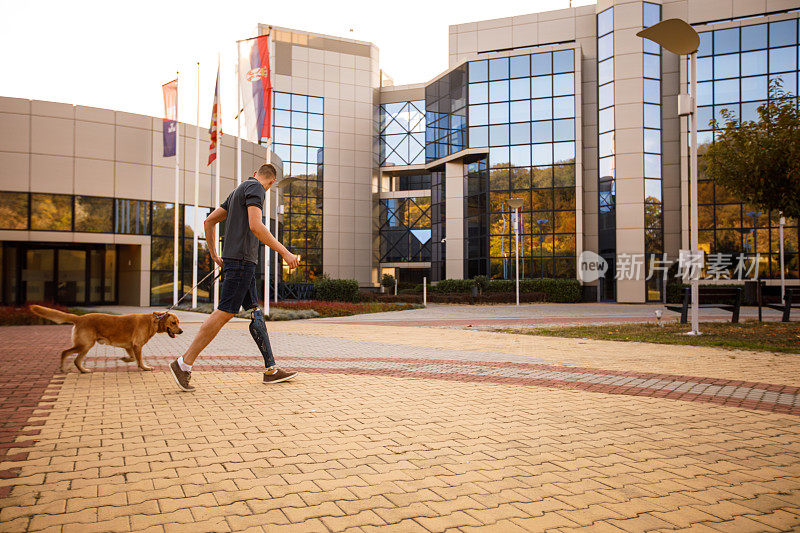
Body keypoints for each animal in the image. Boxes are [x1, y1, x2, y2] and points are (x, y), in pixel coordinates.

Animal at [29, 306, 183, 372]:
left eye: (178, 322)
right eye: (174, 323)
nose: (181, 331)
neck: (153, 321)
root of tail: (79, 317)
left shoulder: (130, 346)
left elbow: (133, 358)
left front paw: (125, 359)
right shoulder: (137, 345)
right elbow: (139, 359)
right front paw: (145, 367)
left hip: (85, 346)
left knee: (76, 360)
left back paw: (83, 370)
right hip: (85, 344)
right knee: (65, 352)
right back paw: (63, 367)